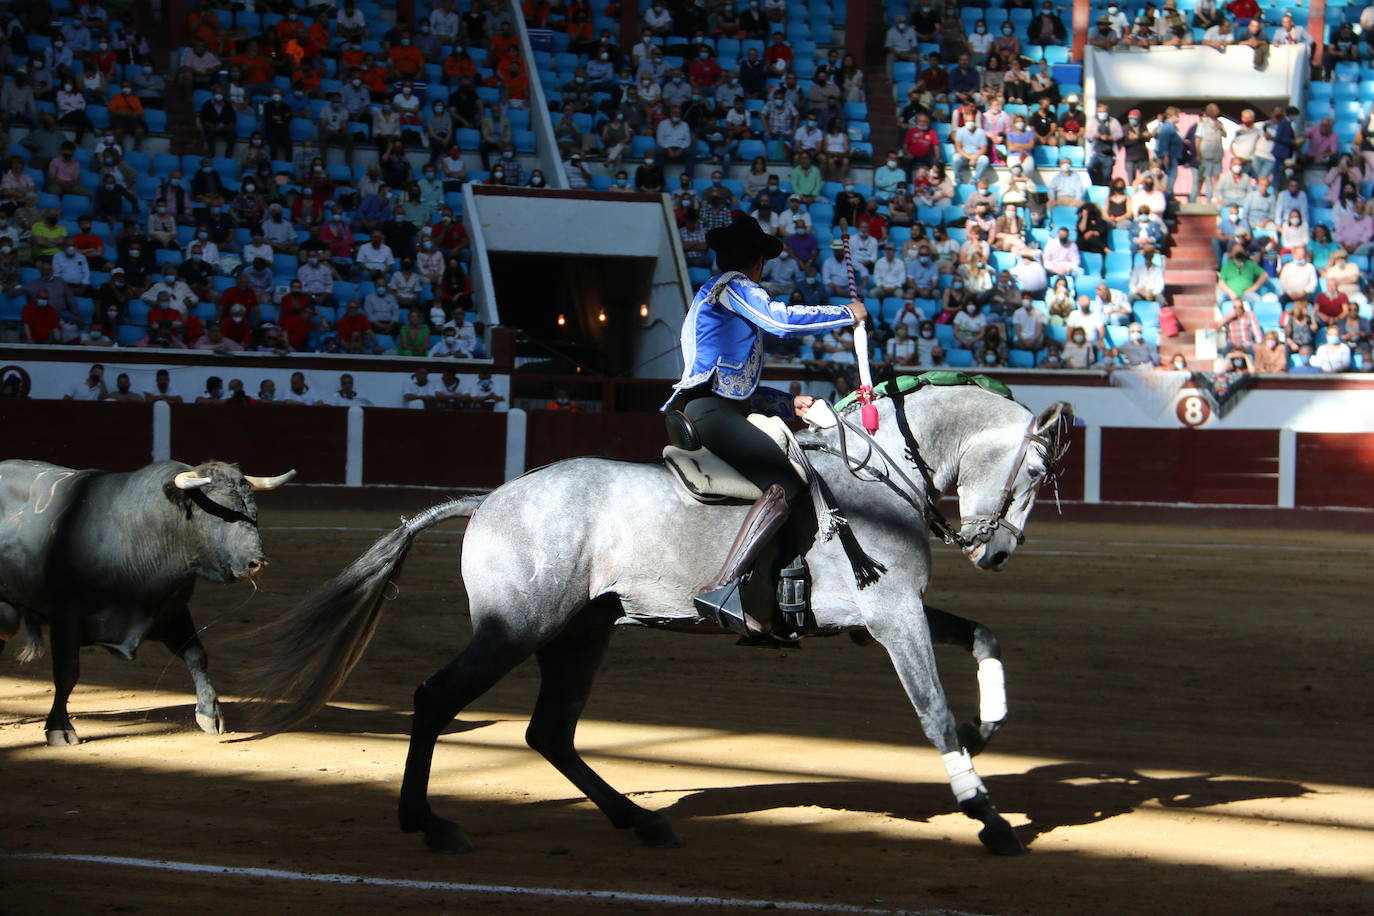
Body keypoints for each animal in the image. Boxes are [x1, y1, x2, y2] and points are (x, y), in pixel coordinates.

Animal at [0, 458, 289, 747]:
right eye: (222, 514)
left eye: (254, 512)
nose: (257, 563)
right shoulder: (65, 616)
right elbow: (67, 672)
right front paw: (59, 728)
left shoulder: (172, 611)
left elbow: (197, 656)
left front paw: (210, 713)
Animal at [247, 379, 1071, 862]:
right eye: (1033, 472)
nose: (995, 552)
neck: (877, 476)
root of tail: (489, 499)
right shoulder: (892, 614)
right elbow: (930, 711)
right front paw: (988, 816)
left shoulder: (891, 612)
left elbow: (984, 636)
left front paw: (987, 728)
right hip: (513, 631)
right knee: (435, 699)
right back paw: (430, 824)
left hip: (578, 635)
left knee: (550, 732)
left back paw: (641, 822)